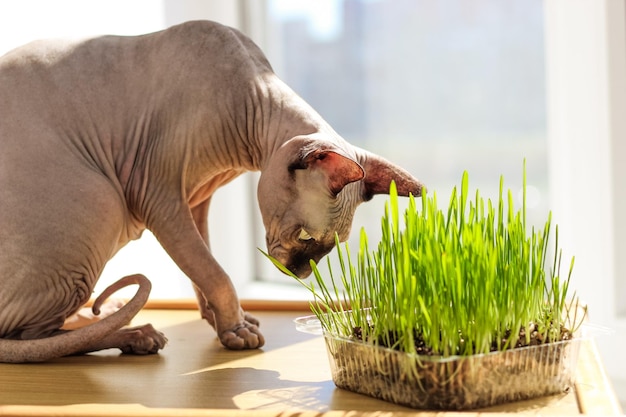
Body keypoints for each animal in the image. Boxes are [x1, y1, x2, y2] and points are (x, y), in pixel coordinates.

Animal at [0, 21, 422, 360]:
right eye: (304, 236)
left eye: (329, 247)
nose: (300, 272)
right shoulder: (159, 198)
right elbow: (213, 271)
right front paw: (236, 329)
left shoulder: (196, 199)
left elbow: (203, 267)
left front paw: (224, 324)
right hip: (103, 200)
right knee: (33, 338)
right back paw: (137, 334)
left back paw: (115, 317)